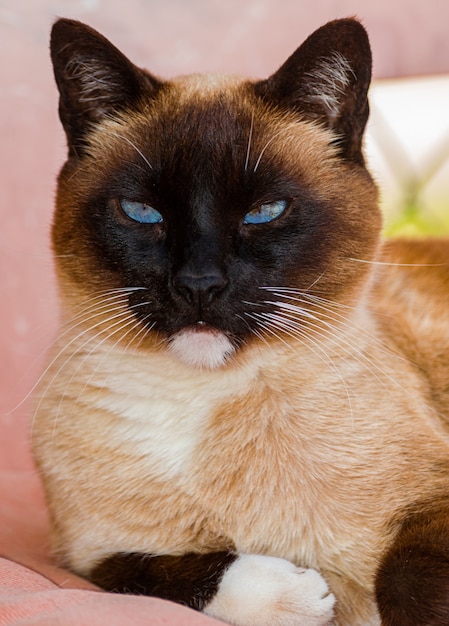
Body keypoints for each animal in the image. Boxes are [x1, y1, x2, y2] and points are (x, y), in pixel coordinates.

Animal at [33, 17, 448, 620]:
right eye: (143, 213)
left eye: (264, 213)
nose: (199, 284)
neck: (201, 399)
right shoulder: (88, 558)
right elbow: (153, 572)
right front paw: (299, 597)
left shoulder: (432, 506)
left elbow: (408, 584)